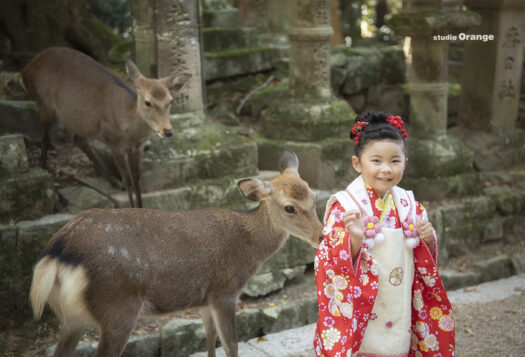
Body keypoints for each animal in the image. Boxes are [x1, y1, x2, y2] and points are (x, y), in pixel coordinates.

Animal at [23, 47, 190, 207]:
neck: (129, 133)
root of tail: (26, 69)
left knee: (78, 139)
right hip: (44, 104)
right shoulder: (115, 145)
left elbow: (136, 179)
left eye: (170, 101)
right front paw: (132, 207)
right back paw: (47, 178)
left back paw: (114, 182)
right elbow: (128, 179)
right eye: (148, 102)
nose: (167, 131)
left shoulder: (138, 148)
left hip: (79, 120)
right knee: (45, 139)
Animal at [29, 150, 324, 356]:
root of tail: (57, 250)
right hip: (117, 306)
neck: (249, 251)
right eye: (289, 207)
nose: (321, 236)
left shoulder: (204, 298)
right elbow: (231, 346)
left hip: (72, 316)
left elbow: (209, 339)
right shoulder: (224, 290)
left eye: (313, 198)